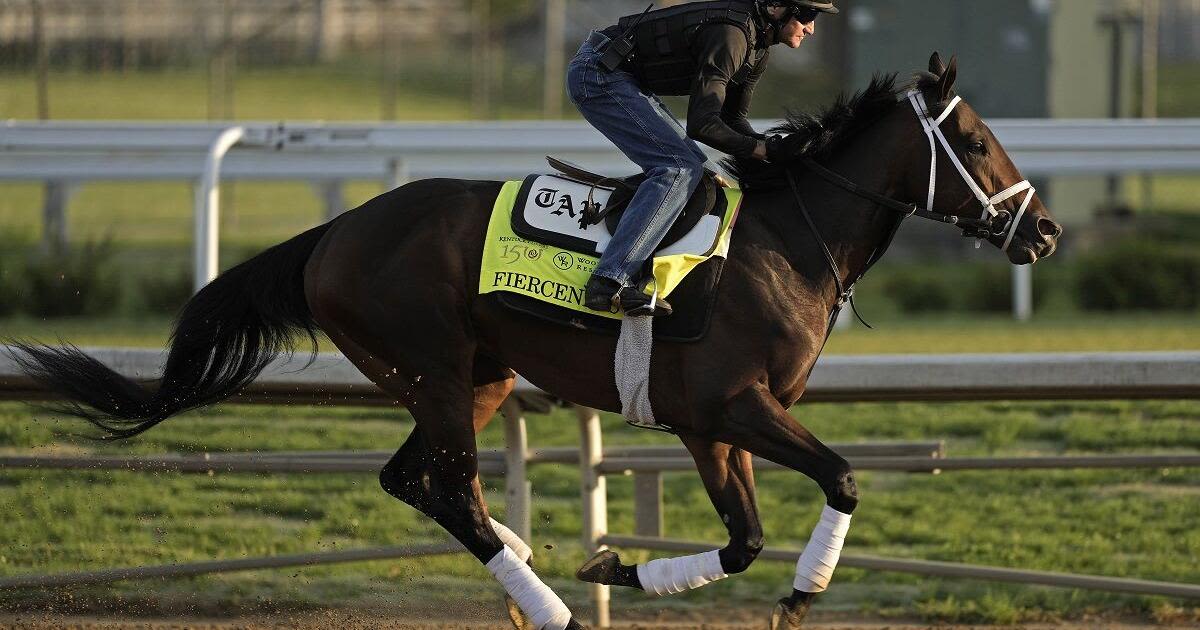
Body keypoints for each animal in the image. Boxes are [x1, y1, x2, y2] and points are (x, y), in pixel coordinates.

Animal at [9, 55, 1060, 628]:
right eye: (974, 142)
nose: (1043, 232)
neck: (784, 242)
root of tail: (335, 231)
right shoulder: (736, 407)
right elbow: (836, 482)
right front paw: (801, 595)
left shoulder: (709, 426)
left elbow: (744, 539)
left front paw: (616, 565)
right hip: (432, 370)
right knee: (449, 489)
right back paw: (544, 603)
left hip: (472, 377)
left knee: (419, 481)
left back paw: (525, 558)